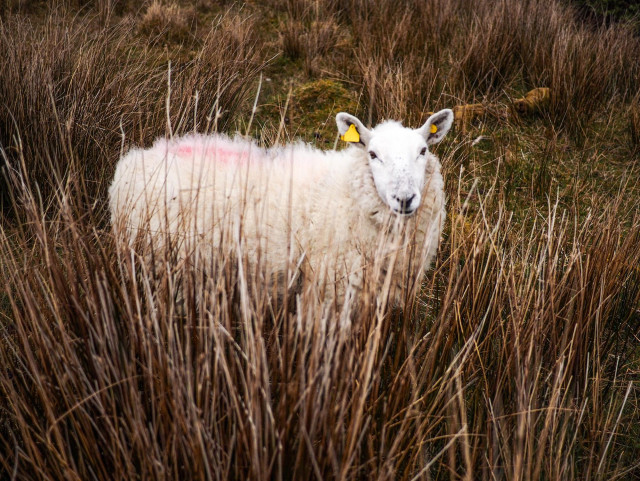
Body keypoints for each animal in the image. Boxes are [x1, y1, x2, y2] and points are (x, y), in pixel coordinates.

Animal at [108, 109, 454, 304]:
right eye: (372, 154)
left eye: (423, 151)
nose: (405, 198)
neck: (348, 193)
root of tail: (135, 159)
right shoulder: (327, 290)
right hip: (155, 265)